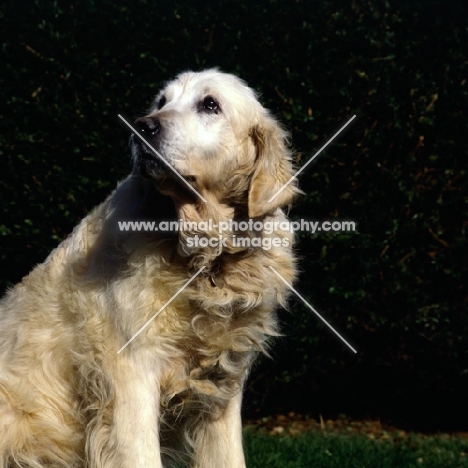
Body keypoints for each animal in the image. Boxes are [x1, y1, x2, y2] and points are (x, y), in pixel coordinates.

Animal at [0, 69, 300, 468]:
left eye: (210, 105)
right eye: (162, 102)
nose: (142, 127)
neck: (204, 260)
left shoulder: (225, 389)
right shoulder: (131, 377)